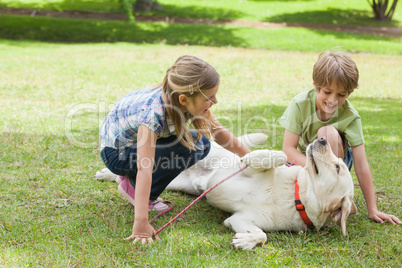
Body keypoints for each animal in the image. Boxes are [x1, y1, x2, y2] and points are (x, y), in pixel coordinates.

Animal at [96, 133, 356, 249]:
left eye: (337, 166)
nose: (322, 139)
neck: (294, 195)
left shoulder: (240, 219)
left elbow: (262, 234)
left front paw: (246, 241)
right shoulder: (247, 169)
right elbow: (275, 156)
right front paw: (263, 156)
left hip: (178, 182)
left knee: (134, 181)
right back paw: (106, 174)